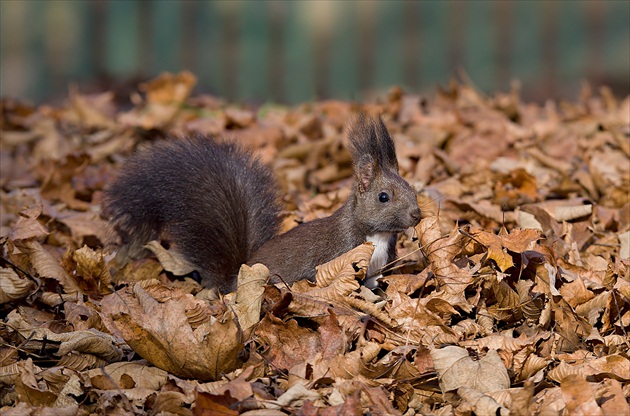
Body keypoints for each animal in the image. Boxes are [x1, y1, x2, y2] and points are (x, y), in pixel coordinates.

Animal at [103, 114, 422, 292]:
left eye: (412, 188)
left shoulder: (376, 270)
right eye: (383, 197)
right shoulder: (338, 257)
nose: (417, 215)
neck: (377, 236)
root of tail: (236, 279)